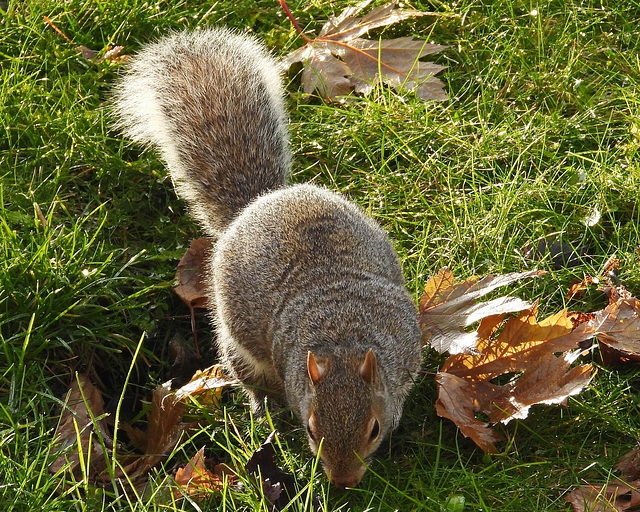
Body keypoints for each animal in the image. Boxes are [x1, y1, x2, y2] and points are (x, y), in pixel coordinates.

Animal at [112, 27, 422, 488]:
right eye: (310, 429)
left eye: (374, 429)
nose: (343, 481)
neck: (345, 339)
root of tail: (259, 201)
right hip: (239, 348)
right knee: (250, 380)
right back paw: (261, 410)